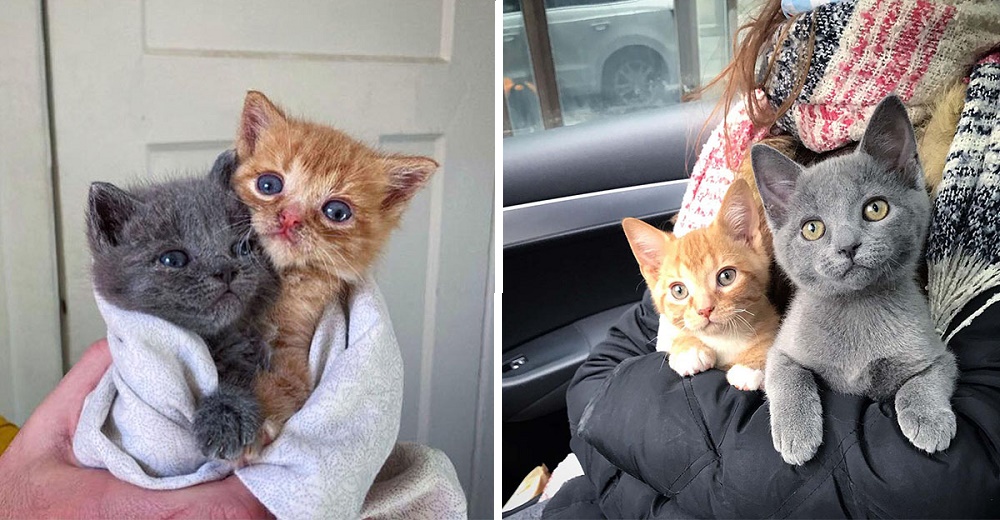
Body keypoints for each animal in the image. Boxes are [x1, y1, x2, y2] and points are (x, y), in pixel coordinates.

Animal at [85, 150, 278, 460]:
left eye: (242, 248)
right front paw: (226, 418)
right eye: (173, 259)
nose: (225, 270)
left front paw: (226, 414)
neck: (212, 342)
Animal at [232, 92, 440, 438]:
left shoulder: (293, 345)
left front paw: (258, 419)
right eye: (268, 185)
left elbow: (289, 383)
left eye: (337, 212)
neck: (283, 276)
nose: (290, 218)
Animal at [620, 180, 776, 390]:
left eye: (727, 276)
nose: (705, 310)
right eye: (678, 290)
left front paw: (750, 366)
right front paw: (688, 349)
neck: (724, 338)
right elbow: (679, 330)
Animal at [752, 95, 956, 466]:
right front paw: (796, 434)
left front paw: (929, 420)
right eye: (812, 228)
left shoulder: (937, 356)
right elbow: (790, 376)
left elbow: (920, 383)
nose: (848, 246)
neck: (857, 308)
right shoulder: (782, 350)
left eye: (876, 208)